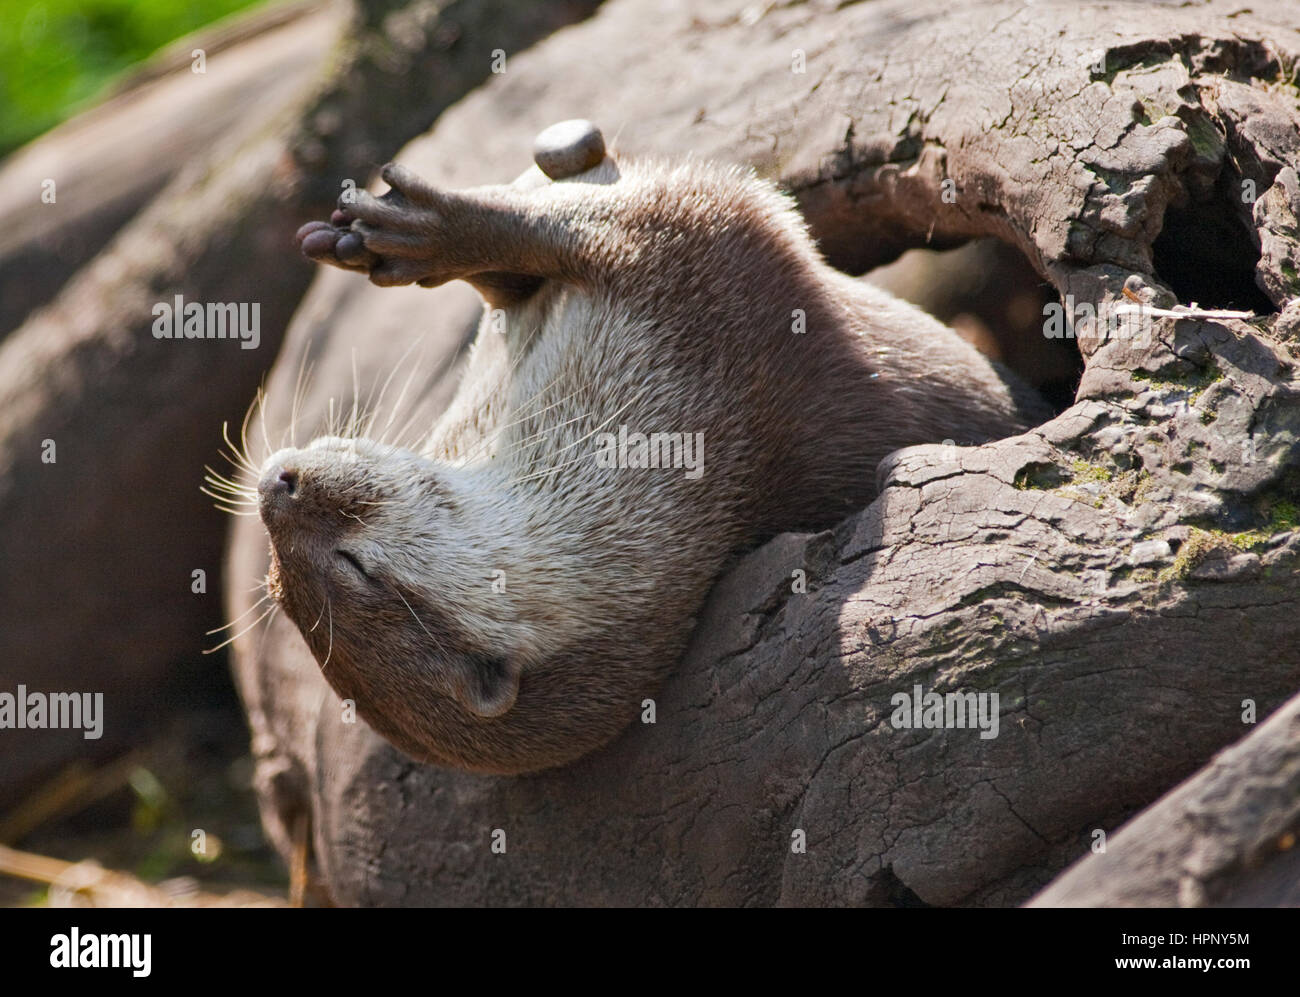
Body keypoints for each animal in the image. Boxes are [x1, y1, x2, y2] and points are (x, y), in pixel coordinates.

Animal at [253, 120, 1046, 775]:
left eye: (283, 588)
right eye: (348, 569)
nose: (276, 486)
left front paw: (419, 237)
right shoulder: (702, 281)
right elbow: (662, 214)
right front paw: (451, 227)